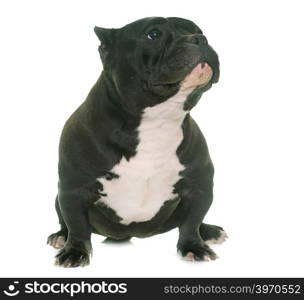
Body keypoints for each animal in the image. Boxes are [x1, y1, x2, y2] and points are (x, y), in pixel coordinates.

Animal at [47, 15, 227, 268]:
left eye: (198, 30)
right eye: (153, 34)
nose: (200, 39)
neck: (158, 119)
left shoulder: (199, 185)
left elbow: (192, 222)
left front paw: (194, 246)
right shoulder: (74, 190)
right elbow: (77, 226)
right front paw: (74, 252)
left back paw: (209, 232)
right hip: (58, 198)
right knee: (66, 222)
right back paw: (60, 237)